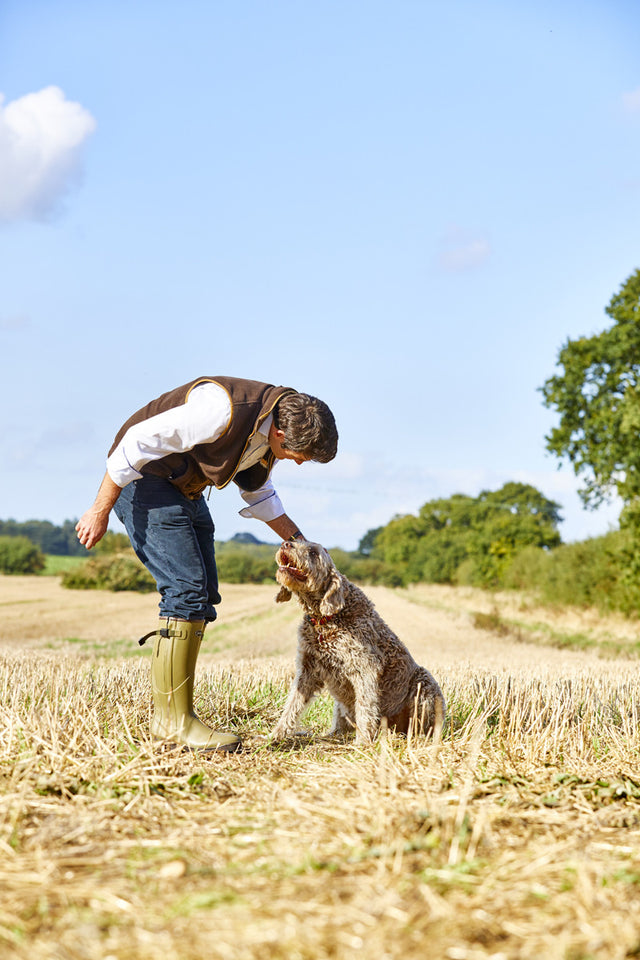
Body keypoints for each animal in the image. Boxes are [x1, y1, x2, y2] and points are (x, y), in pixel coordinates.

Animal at [270, 540, 444, 744]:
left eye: (313, 552)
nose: (286, 543)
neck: (325, 619)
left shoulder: (365, 669)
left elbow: (365, 708)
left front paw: (362, 742)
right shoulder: (307, 671)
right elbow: (293, 704)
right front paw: (276, 734)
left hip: (424, 683)